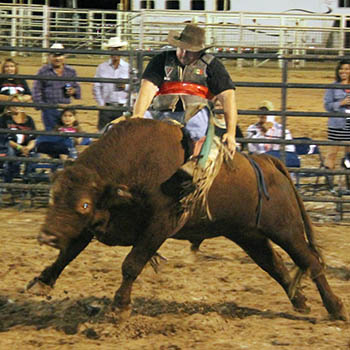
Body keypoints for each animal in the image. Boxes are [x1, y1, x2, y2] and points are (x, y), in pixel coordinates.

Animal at [28, 119, 348, 322]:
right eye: (54, 196)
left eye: (83, 204)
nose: (46, 236)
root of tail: (268, 163)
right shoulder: (91, 223)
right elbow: (68, 252)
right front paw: (43, 281)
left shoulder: (161, 223)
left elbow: (131, 264)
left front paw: (120, 307)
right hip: (249, 235)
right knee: (275, 264)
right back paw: (301, 301)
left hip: (286, 229)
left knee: (310, 261)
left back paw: (335, 308)